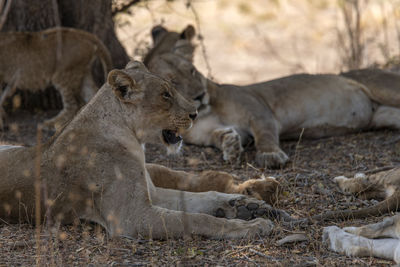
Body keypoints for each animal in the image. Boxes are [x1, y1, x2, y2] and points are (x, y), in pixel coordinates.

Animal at [0, 61, 294, 241]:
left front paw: (244, 205)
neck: (132, 136)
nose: (195, 113)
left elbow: (200, 199)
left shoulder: (151, 193)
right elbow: (197, 219)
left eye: (171, 89)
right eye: (165, 95)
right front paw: (251, 225)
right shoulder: (131, 217)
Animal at [144, 24, 400, 168]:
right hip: (385, 115)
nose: (200, 95)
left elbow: (264, 133)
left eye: (192, 71)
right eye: (174, 82)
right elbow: (220, 136)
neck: (205, 112)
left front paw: (270, 156)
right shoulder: (207, 134)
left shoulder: (258, 110)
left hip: (384, 87)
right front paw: (231, 146)